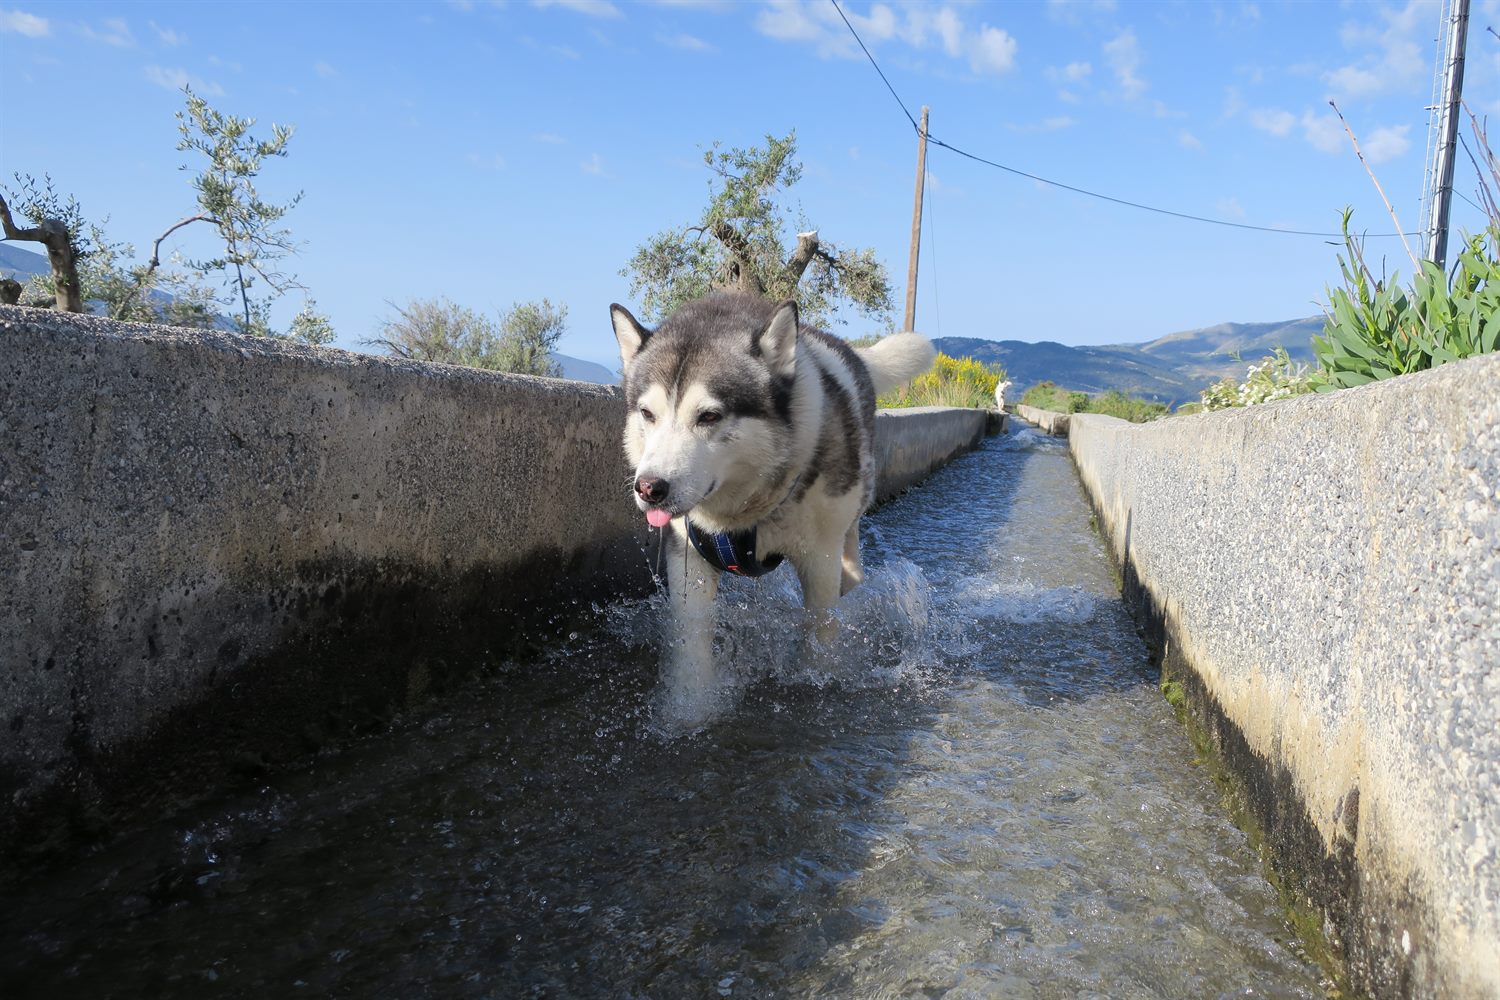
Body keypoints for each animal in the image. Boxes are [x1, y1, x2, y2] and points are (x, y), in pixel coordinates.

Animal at [606, 293, 930, 722]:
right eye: (647, 414)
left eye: (709, 416)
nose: (649, 487)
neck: (745, 511)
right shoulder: (688, 556)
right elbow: (691, 637)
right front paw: (688, 709)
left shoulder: (819, 559)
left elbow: (820, 627)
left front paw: (818, 677)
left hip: (850, 510)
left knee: (850, 555)